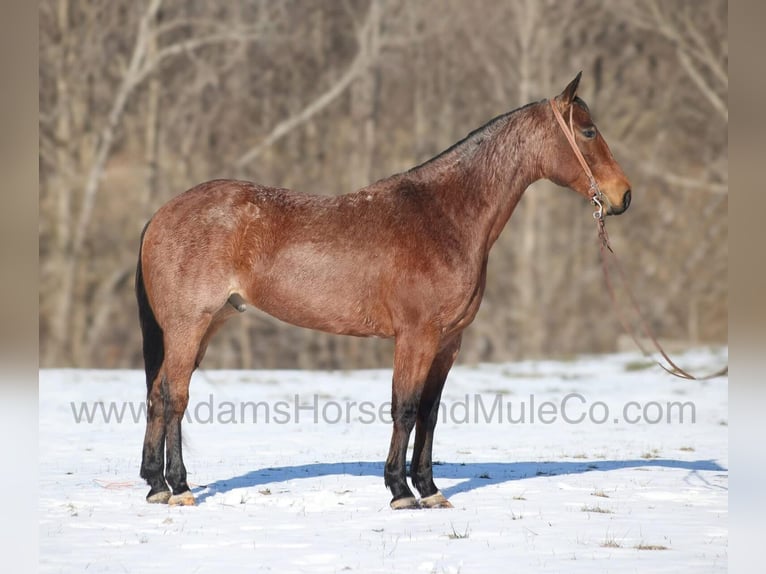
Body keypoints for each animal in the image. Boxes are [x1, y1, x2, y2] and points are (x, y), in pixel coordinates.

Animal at [135, 72, 631, 508]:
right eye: (588, 131)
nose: (623, 195)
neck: (445, 217)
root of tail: (162, 213)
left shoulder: (448, 342)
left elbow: (429, 413)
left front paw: (429, 489)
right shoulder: (416, 337)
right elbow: (405, 409)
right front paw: (399, 490)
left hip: (207, 325)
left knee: (159, 393)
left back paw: (156, 484)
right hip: (188, 325)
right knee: (174, 397)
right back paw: (179, 488)